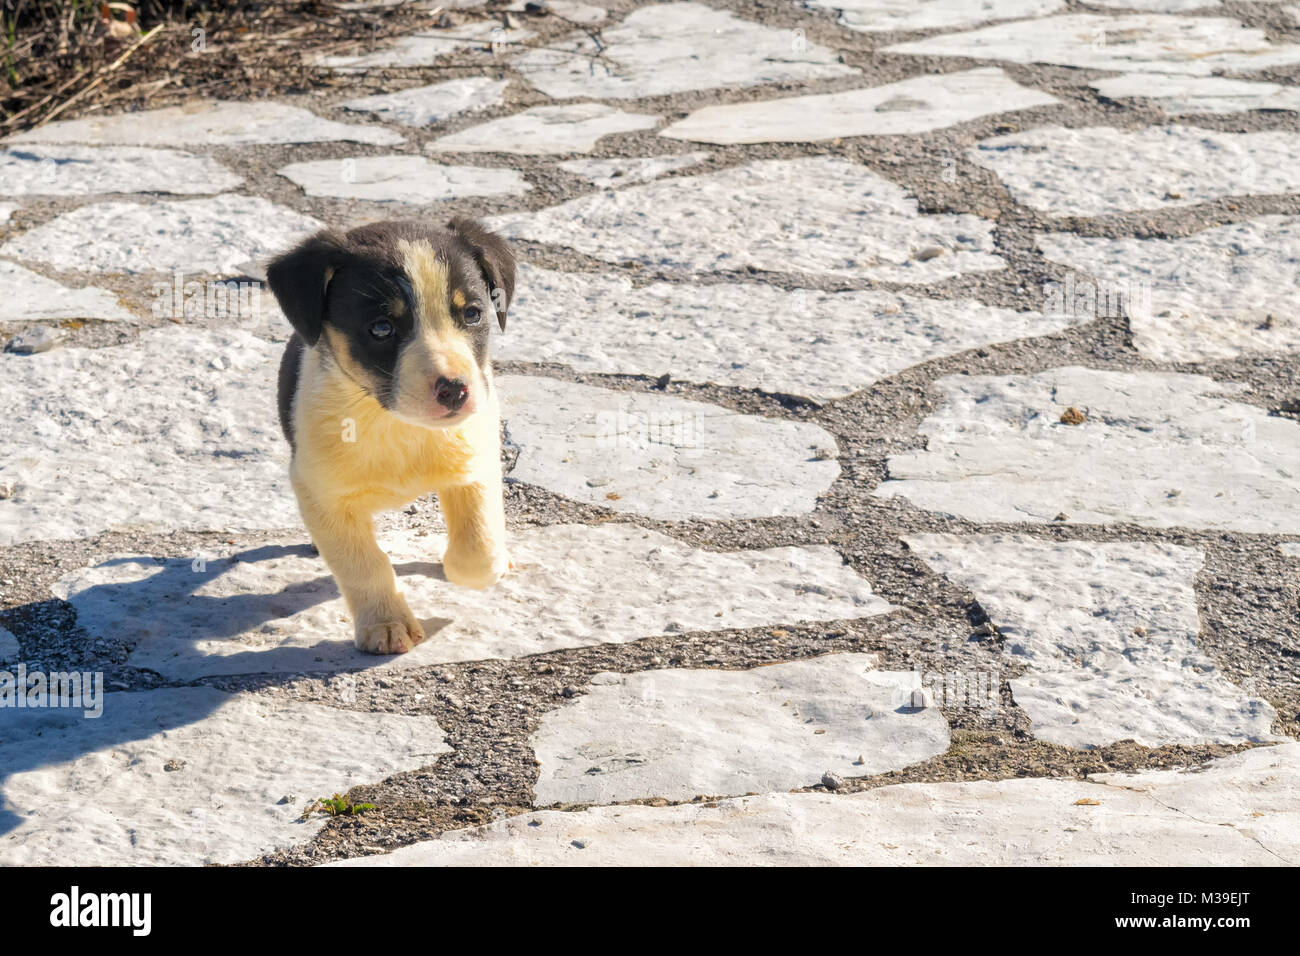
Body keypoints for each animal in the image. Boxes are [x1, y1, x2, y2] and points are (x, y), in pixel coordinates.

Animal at [266, 219, 514, 655]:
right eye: (381, 328)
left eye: (472, 314)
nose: (455, 390)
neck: (395, 423)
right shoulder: (321, 491)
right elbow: (363, 562)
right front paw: (385, 623)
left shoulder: (476, 459)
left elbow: (477, 550)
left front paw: (482, 566)